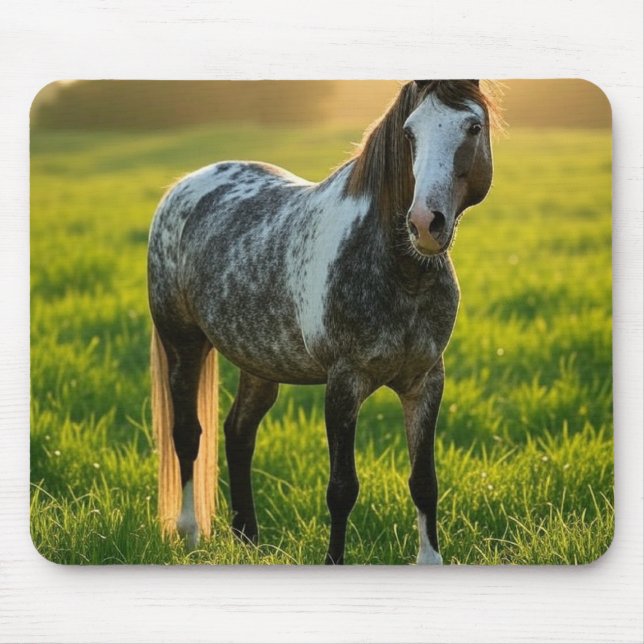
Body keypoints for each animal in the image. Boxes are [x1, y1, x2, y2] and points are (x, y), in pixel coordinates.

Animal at [148, 80, 496, 564]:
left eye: (473, 126)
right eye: (409, 133)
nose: (426, 223)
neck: (401, 272)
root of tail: (183, 187)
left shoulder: (426, 380)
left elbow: (424, 481)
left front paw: (430, 561)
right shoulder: (343, 382)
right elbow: (342, 489)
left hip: (258, 363)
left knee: (238, 432)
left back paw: (247, 537)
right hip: (183, 344)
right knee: (187, 434)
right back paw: (190, 533)